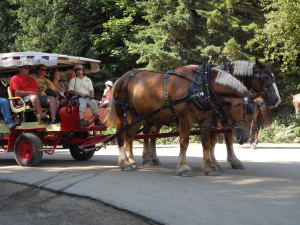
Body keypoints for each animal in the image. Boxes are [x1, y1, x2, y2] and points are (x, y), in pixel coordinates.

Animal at [105, 65, 258, 176]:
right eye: (248, 113)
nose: (245, 138)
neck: (202, 86)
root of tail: (123, 77)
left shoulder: (206, 120)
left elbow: (207, 143)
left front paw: (210, 167)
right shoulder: (185, 118)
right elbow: (184, 142)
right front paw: (183, 167)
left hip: (137, 116)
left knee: (130, 136)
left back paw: (132, 161)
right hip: (122, 113)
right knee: (121, 135)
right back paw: (125, 163)